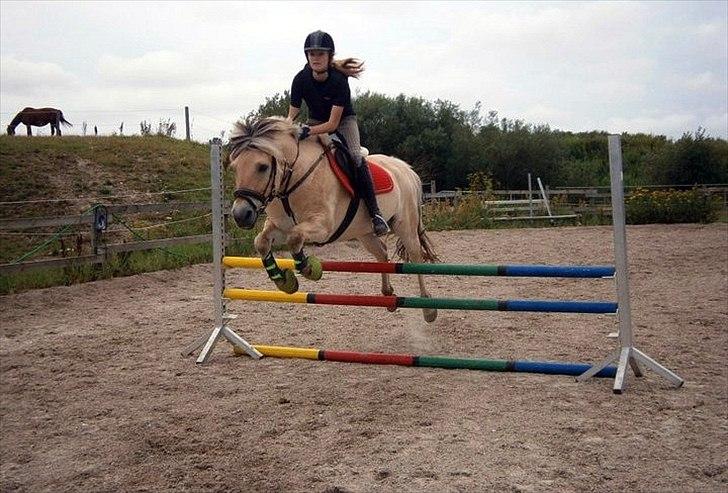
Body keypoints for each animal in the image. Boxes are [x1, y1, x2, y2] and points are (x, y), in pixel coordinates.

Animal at [228, 116, 438, 322]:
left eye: (262, 167)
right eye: (235, 168)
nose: (240, 215)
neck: (293, 181)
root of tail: (405, 168)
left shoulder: (323, 227)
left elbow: (295, 238)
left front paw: (310, 269)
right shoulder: (280, 226)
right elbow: (261, 242)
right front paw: (284, 281)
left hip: (405, 226)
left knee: (415, 256)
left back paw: (428, 308)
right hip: (364, 232)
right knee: (382, 252)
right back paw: (388, 294)